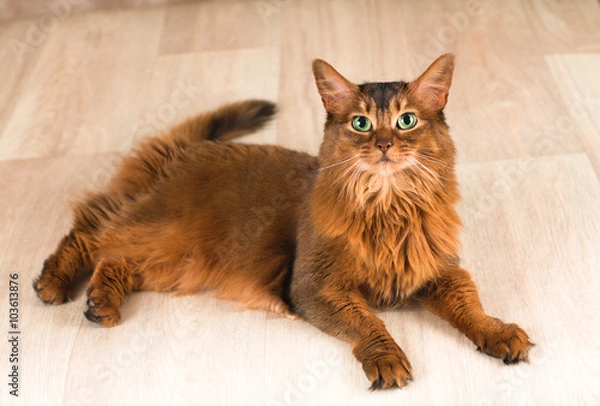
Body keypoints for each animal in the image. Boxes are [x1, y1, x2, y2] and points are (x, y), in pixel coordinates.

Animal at [34, 54, 528, 390]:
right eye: (361, 123)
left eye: (406, 121)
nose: (385, 144)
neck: (388, 209)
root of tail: (185, 150)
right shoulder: (314, 287)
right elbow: (369, 322)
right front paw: (386, 358)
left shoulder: (440, 272)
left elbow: (471, 308)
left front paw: (498, 333)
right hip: (166, 230)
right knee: (91, 231)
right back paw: (54, 284)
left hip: (176, 261)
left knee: (116, 257)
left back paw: (100, 303)